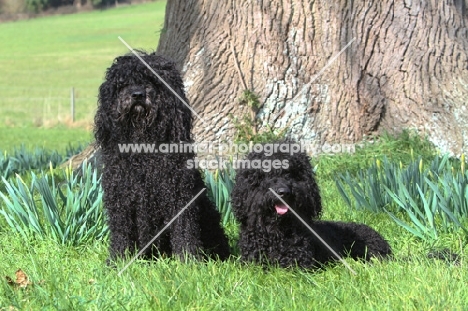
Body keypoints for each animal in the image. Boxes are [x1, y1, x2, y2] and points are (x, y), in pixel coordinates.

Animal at [93, 52, 230, 262]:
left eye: (152, 80)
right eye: (123, 83)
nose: (138, 94)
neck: (143, 146)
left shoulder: (179, 195)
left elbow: (184, 231)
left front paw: (189, 260)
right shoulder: (121, 198)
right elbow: (121, 233)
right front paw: (118, 260)